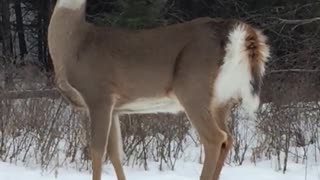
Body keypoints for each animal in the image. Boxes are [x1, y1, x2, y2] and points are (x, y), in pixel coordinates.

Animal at [47, 0, 270, 180]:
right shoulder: (116, 107)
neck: (73, 47)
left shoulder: (99, 94)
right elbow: (116, 153)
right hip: (221, 100)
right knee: (228, 138)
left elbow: (96, 151)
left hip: (192, 87)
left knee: (215, 138)